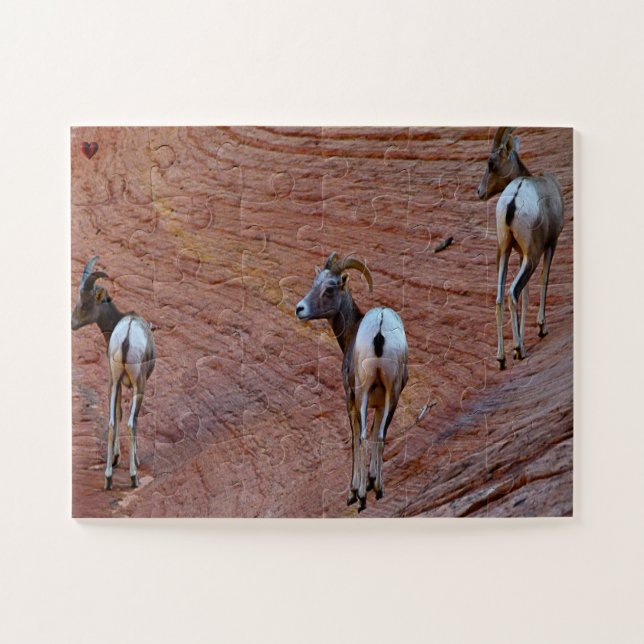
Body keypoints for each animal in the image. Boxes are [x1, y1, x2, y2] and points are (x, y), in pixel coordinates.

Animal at [72, 256, 156, 489]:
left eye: (85, 301)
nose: (72, 323)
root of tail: (127, 337)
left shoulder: (115, 382)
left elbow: (116, 415)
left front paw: (116, 459)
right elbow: (130, 419)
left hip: (114, 382)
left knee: (111, 422)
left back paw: (108, 478)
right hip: (139, 385)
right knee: (131, 423)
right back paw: (134, 476)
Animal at [296, 253, 408, 512]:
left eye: (329, 288)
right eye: (314, 283)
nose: (300, 309)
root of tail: (380, 327)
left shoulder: (350, 397)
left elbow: (355, 438)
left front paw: (354, 491)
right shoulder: (381, 403)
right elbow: (378, 432)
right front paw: (371, 480)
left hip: (362, 391)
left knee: (364, 437)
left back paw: (362, 499)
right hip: (393, 393)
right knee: (380, 436)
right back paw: (379, 490)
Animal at [477, 127, 565, 369]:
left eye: (491, 163)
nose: (479, 191)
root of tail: (513, 200)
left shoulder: (518, 254)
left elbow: (526, 297)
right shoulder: (550, 245)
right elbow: (543, 280)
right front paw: (541, 328)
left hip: (503, 252)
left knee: (500, 297)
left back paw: (501, 358)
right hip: (532, 256)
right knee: (512, 292)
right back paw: (518, 349)